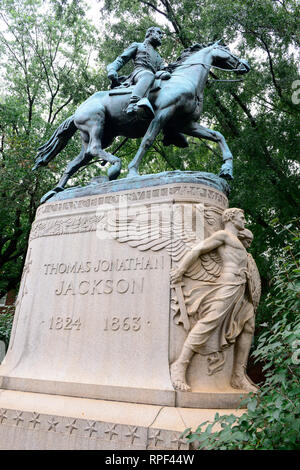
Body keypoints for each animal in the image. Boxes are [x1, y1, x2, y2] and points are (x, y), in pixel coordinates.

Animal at [33, 40, 248, 202]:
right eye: (227, 50)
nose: (245, 65)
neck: (185, 79)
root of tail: (77, 110)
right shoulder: (162, 115)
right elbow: (147, 141)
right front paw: (132, 172)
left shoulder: (185, 124)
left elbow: (218, 136)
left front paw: (227, 170)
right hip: (96, 122)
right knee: (94, 149)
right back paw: (115, 166)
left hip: (101, 135)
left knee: (77, 160)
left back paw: (55, 192)